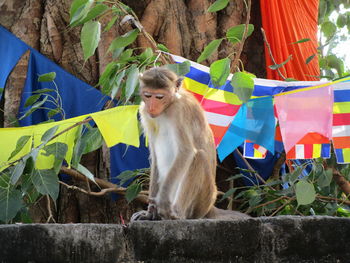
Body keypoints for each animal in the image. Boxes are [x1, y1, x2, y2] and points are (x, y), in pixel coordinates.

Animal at [131, 67, 249, 222]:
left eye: (159, 97)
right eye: (148, 95)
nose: (152, 106)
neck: (168, 106)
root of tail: (210, 208)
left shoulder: (179, 111)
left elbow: (186, 151)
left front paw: (162, 200)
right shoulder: (144, 112)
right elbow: (155, 157)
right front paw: (149, 213)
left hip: (202, 202)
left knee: (199, 157)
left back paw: (178, 214)